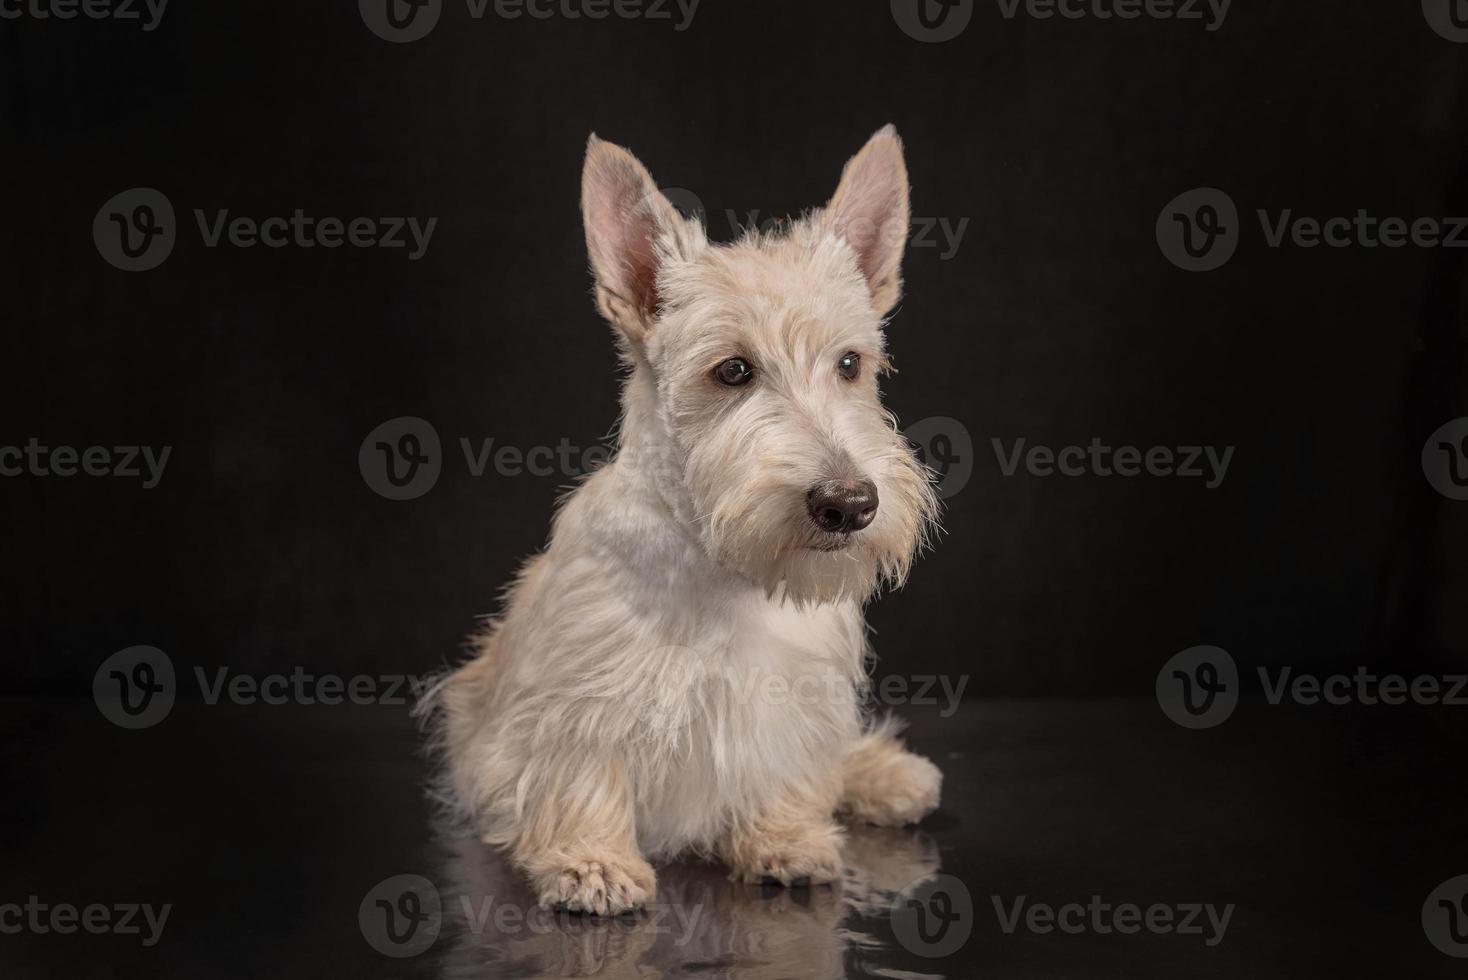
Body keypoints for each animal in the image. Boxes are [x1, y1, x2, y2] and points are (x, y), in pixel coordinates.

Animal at [428, 126, 945, 915]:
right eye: (732, 371)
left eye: (851, 363)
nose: (849, 504)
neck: (718, 567)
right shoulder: (571, 705)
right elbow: (581, 777)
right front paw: (591, 862)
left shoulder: (789, 696)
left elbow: (788, 767)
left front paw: (782, 839)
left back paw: (890, 776)